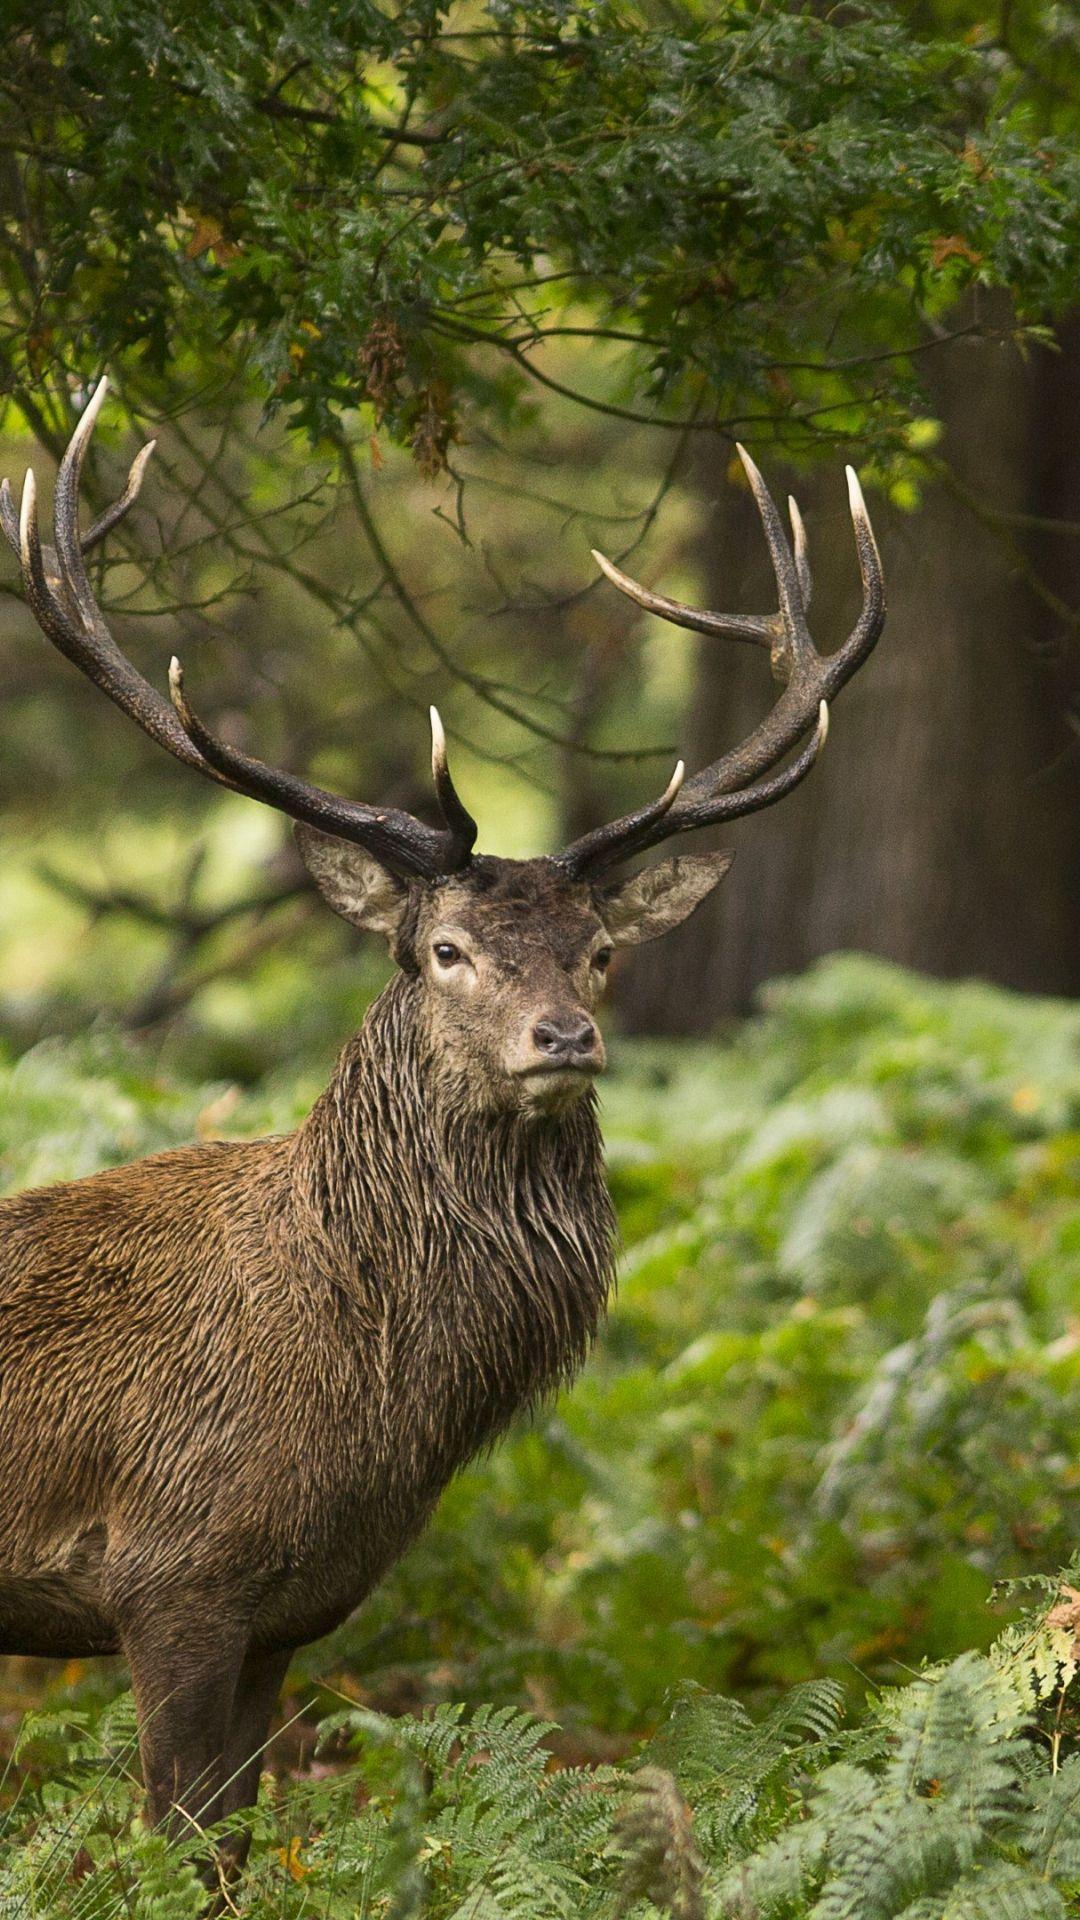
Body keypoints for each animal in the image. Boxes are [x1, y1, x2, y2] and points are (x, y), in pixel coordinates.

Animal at [0, 378, 884, 1868]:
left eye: (599, 950)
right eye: (446, 951)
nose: (565, 1037)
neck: (377, 1401)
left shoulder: (287, 1617)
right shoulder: (169, 1575)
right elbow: (177, 1850)